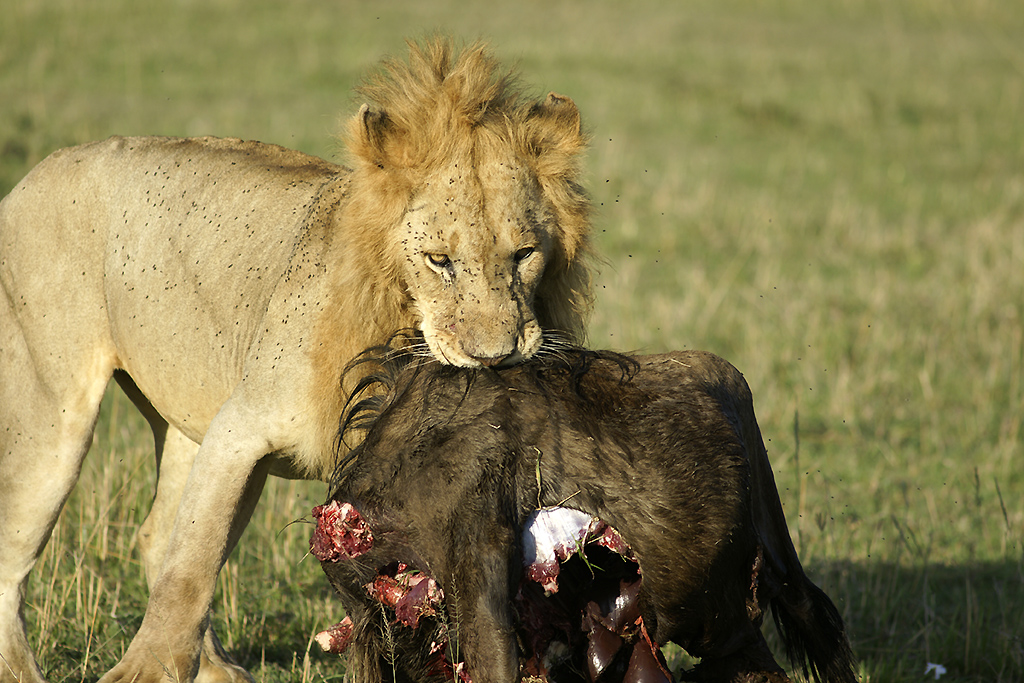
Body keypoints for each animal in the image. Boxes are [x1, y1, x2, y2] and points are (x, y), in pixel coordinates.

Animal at [0, 38, 593, 683]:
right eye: (439, 260)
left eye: (525, 253)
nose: (496, 356)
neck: (393, 325)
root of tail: (40, 170)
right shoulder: (239, 430)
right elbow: (192, 567)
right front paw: (143, 672)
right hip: (54, 413)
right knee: (22, 545)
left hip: (188, 419)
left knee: (158, 535)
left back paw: (219, 669)